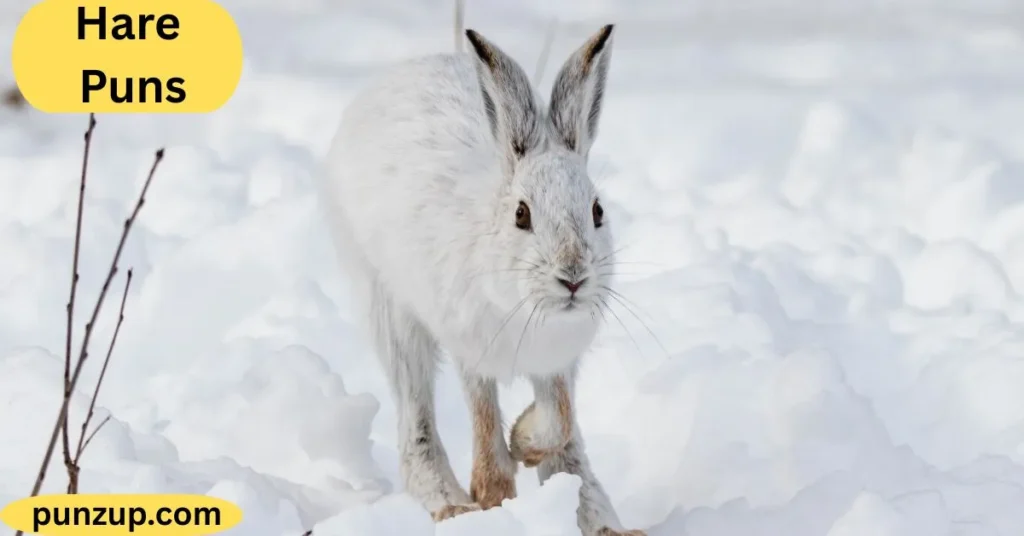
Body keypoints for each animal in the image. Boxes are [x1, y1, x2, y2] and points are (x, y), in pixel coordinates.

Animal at [320, 24, 645, 536]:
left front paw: (524, 442)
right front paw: (495, 494)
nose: (572, 277)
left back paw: (605, 524)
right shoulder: (472, 349)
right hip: (390, 311)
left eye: (597, 212)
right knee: (415, 424)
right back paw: (452, 506)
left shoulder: (558, 363)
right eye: (521, 215)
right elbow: (485, 421)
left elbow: (561, 423)